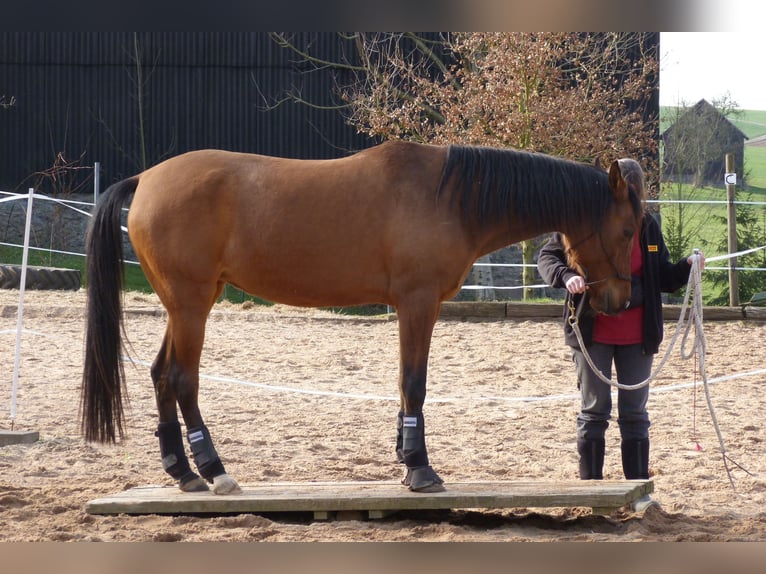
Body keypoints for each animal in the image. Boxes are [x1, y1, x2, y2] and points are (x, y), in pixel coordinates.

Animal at [81, 143, 644, 496]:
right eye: (627, 229)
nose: (619, 300)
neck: (449, 197)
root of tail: (147, 179)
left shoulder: (413, 307)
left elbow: (402, 384)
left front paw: (404, 458)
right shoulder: (417, 302)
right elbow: (414, 383)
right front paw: (420, 468)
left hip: (184, 304)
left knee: (160, 375)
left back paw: (183, 472)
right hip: (192, 302)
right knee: (182, 379)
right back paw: (215, 471)